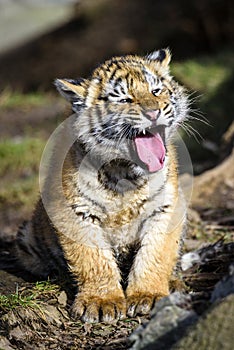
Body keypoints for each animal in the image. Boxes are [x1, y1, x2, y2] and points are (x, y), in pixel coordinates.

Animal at [14, 48, 189, 322]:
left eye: (156, 91)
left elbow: (155, 253)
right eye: (125, 99)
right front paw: (101, 301)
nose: (153, 113)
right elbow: (92, 259)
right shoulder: (75, 211)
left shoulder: (165, 207)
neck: (125, 174)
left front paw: (147, 295)